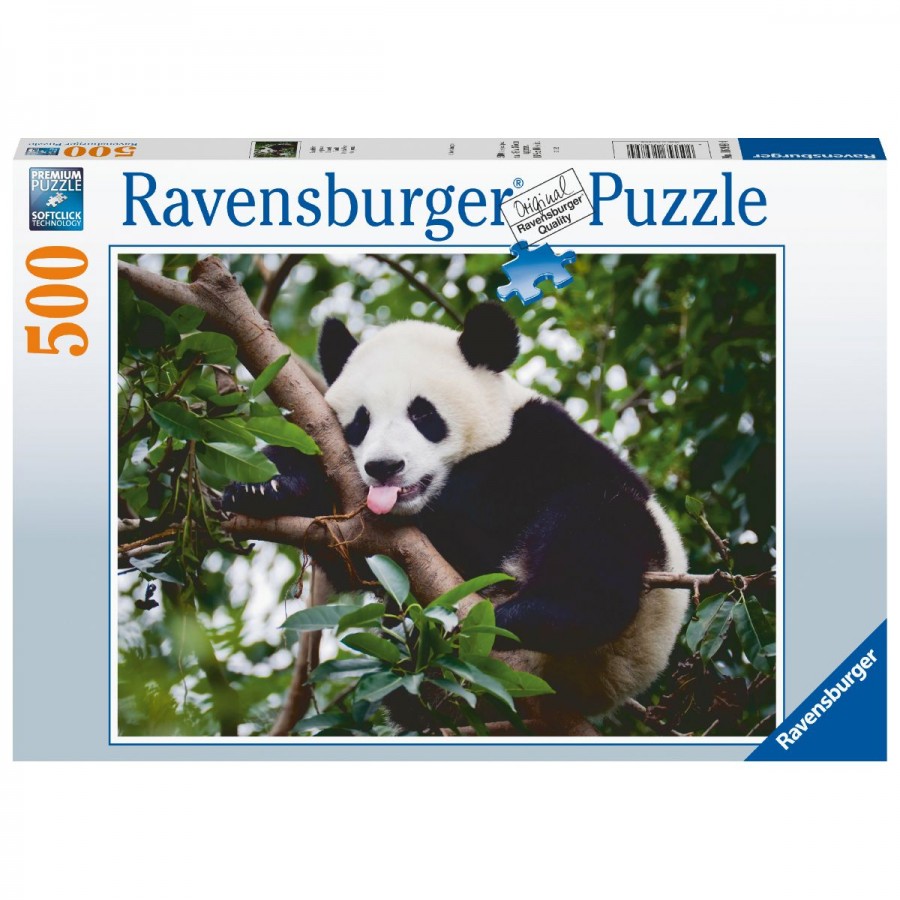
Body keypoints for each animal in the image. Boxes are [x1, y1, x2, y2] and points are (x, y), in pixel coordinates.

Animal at [222, 302, 689, 723]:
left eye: (423, 414)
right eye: (360, 421)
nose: (385, 467)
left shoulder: (540, 445)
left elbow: (475, 517)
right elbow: (350, 558)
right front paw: (263, 486)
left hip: (635, 614)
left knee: (596, 530)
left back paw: (528, 616)